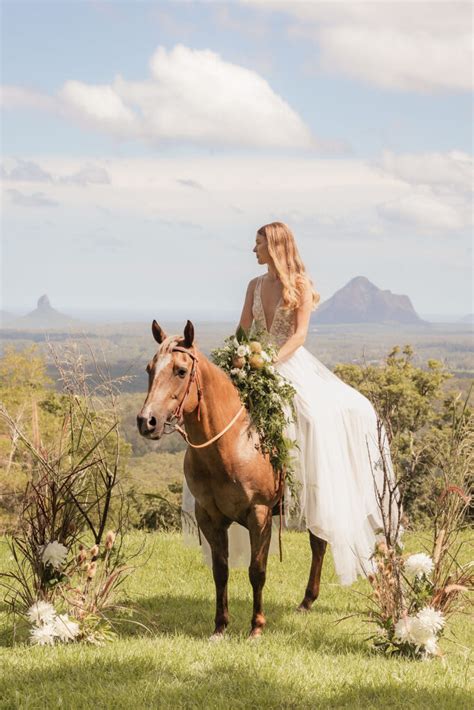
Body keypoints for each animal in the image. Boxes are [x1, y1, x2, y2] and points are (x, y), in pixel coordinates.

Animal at [137, 322, 326, 640]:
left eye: (181, 371)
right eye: (150, 369)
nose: (147, 422)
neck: (230, 444)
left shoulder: (259, 514)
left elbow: (256, 570)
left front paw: (256, 626)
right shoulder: (209, 517)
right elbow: (220, 570)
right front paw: (220, 626)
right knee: (319, 543)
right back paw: (307, 602)